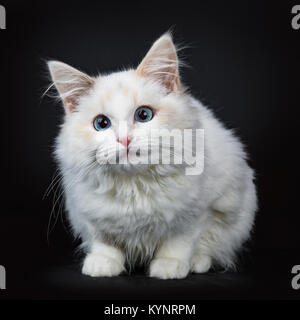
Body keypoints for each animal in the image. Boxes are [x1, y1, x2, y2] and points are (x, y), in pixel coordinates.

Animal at [47, 32, 258, 278]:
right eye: (101, 124)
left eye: (143, 115)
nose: (124, 139)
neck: (134, 186)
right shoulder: (91, 216)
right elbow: (105, 242)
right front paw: (103, 264)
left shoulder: (199, 212)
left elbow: (180, 241)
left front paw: (169, 266)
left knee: (211, 249)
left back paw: (197, 263)